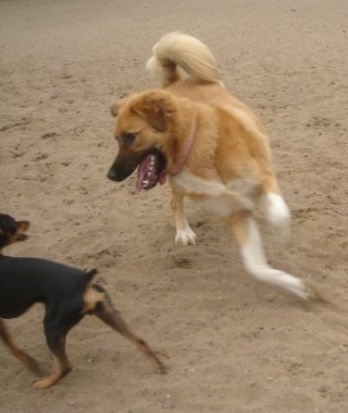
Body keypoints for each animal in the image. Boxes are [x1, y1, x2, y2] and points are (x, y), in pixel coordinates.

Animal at [0, 214, 166, 388]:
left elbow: (11, 346)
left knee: (66, 366)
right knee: (140, 340)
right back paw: (157, 366)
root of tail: (83, 279)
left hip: (52, 327)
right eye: (13, 222)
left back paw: (44, 383)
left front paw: (34, 366)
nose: (27, 222)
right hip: (106, 313)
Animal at [107, 32, 312, 300]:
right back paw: (183, 230)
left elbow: (278, 212)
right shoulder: (234, 211)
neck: (196, 146)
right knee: (175, 202)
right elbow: (255, 266)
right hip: (178, 186)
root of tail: (176, 81)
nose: (111, 175)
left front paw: (279, 232)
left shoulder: (264, 177)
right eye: (116, 139)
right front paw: (293, 285)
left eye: (130, 136)